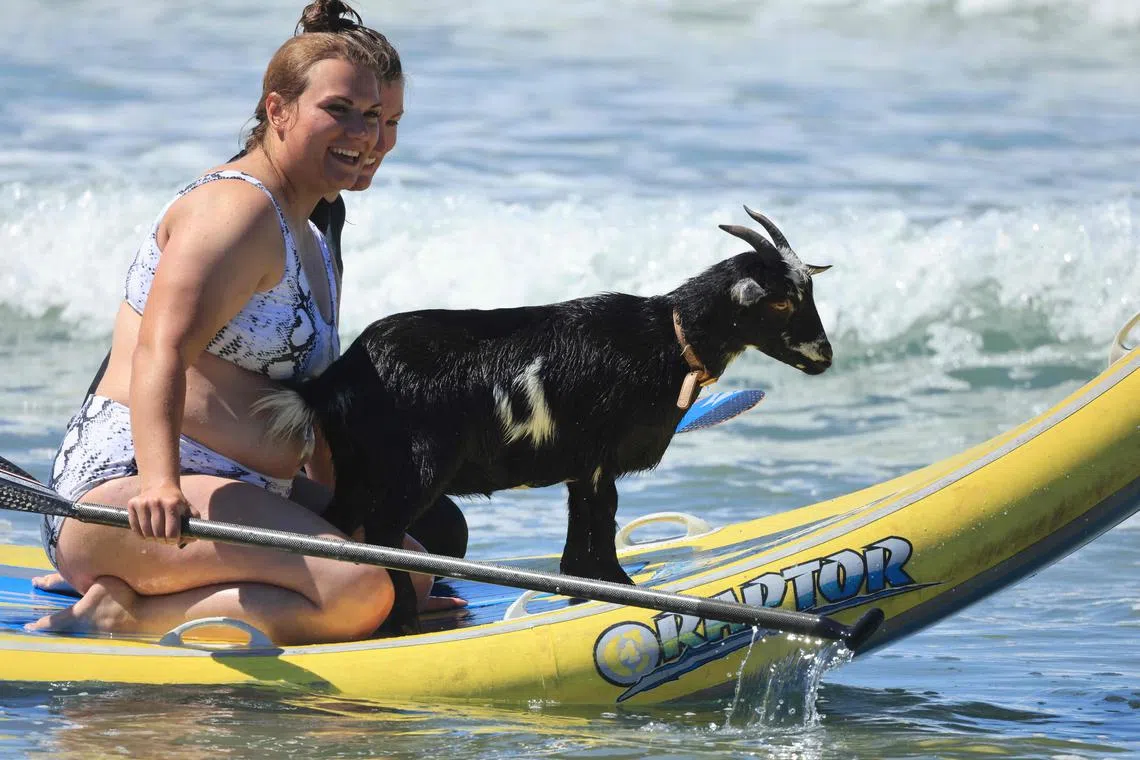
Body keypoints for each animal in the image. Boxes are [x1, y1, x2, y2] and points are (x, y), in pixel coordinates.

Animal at [257, 206, 833, 632]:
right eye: (781, 302)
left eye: (809, 291)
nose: (824, 356)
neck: (664, 339)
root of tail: (341, 376)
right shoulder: (601, 456)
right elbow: (602, 523)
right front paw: (624, 587)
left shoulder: (582, 464)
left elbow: (579, 544)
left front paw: (592, 587)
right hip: (415, 467)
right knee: (382, 535)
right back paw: (402, 619)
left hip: (355, 467)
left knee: (341, 525)